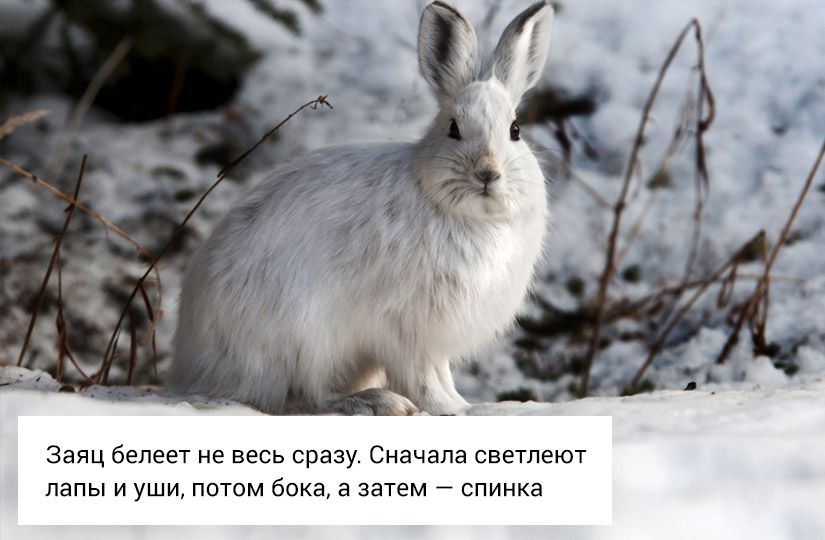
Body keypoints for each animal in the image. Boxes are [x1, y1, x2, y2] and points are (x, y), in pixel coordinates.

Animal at [170, 1, 554, 415]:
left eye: (515, 131)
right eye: (453, 129)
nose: (487, 173)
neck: (469, 216)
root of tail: (195, 366)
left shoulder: (430, 339)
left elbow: (440, 373)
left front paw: (462, 404)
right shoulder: (405, 327)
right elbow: (422, 376)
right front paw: (449, 408)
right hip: (304, 336)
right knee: (305, 397)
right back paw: (375, 401)